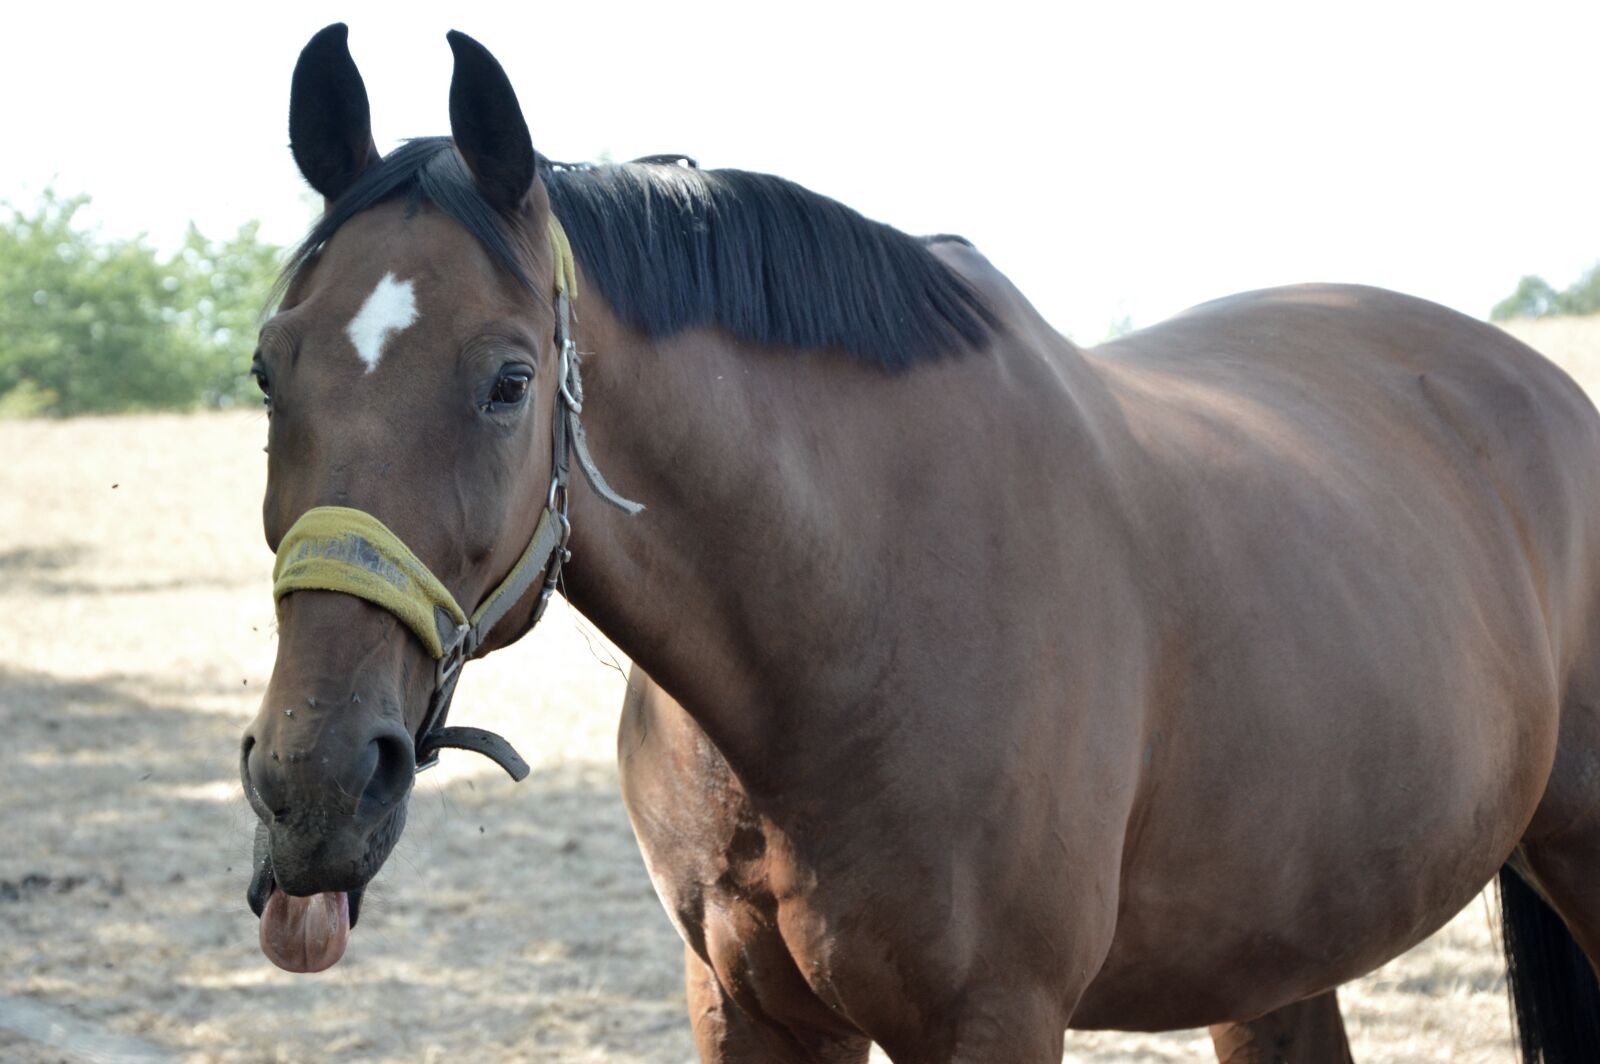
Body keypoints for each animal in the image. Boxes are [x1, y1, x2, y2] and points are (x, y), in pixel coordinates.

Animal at [240, 22, 1600, 1063]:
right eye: (266, 367)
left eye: (510, 380)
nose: (314, 780)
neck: (845, 613)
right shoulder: (743, 1009)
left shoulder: (992, 1016)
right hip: (1275, 949)